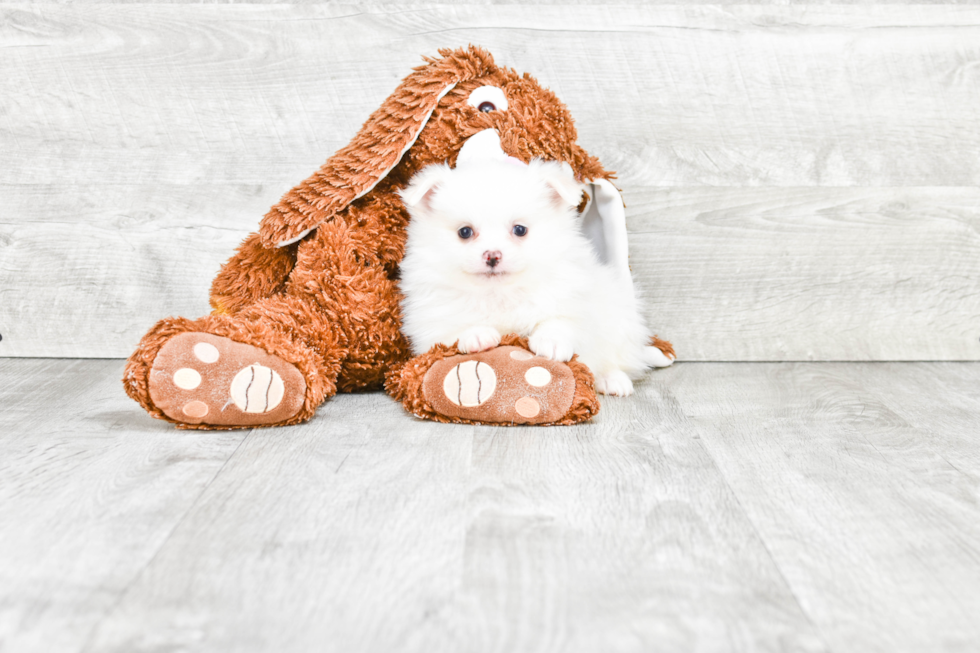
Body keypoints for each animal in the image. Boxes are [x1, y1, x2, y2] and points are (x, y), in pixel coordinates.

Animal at [400, 159, 668, 394]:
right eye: (465, 232)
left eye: (520, 230)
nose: (492, 255)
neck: (500, 292)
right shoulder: (429, 321)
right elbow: (449, 331)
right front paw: (477, 334)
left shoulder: (573, 298)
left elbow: (560, 320)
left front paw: (551, 341)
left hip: (620, 321)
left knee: (615, 356)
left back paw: (612, 380)